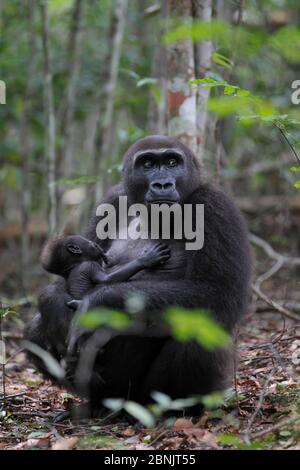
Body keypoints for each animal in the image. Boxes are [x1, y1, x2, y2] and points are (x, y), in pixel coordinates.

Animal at [40, 234, 170, 308]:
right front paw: (147, 259)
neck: (75, 264)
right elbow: (107, 279)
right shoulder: (90, 266)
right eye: (90, 243)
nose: (96, 244)